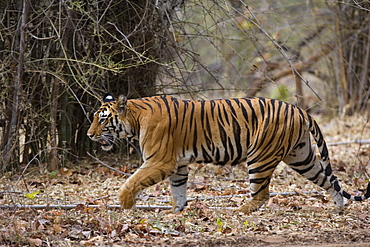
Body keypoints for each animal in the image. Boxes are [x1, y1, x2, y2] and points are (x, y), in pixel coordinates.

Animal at [87, 93, 370, 213]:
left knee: (262, 194)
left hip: (260, 156)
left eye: (102, 119)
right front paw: (176, 212)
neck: (134, 119)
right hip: (301, 157)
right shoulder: (178, 164)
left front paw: (125, 204)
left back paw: (240, 211)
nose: (89, 135)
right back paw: (339, 207)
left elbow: (131, 181)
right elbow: (178, 190)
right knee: (329, 179)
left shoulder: (160, 161)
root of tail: (299, 109)